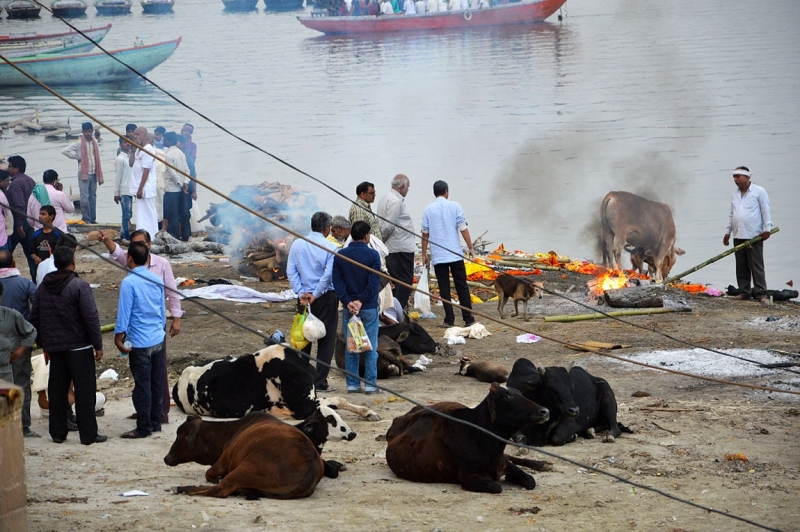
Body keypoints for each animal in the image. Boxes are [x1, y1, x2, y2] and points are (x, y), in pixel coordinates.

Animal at [386, 382, 552, 494]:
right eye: (508, 396)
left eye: (520, 393)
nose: (545, 411)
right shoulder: (468, 477)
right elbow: (497, 486)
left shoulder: (503, 462)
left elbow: (530, 480)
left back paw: (541, 463)